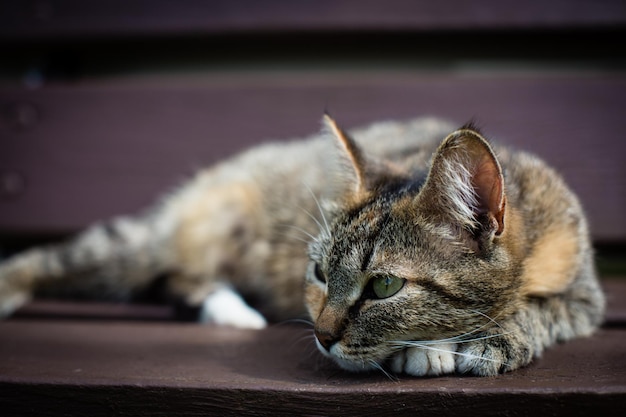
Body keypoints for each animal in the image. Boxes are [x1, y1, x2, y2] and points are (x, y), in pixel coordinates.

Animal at [1, 115, 604, 376]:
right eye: (317, 273)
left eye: (385, 285)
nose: (321, 335)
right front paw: (436, 347)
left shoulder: (585, 295)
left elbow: (541, 309)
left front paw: (487, 338)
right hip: (181, 231)